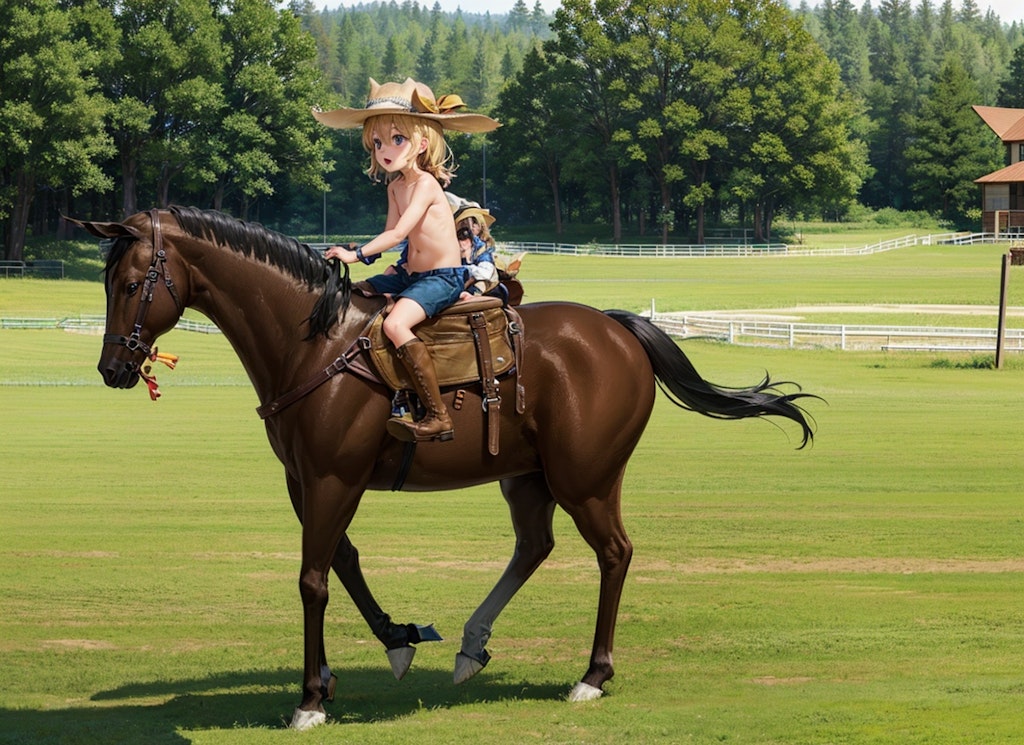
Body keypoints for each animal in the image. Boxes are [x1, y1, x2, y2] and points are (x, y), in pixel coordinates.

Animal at [70, 206, 815, 728]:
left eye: (132, 282)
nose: (111, 368)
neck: (316, 341)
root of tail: (616, 327)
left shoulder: (333, 479)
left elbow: (313, 579)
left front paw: (310, 698)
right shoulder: (307, 480)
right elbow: (344, 561)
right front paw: (394, 639)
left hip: (587, 478)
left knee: (614, 552)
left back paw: (592, 675)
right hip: (528, 476)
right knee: (534, 546)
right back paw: (471, 644)